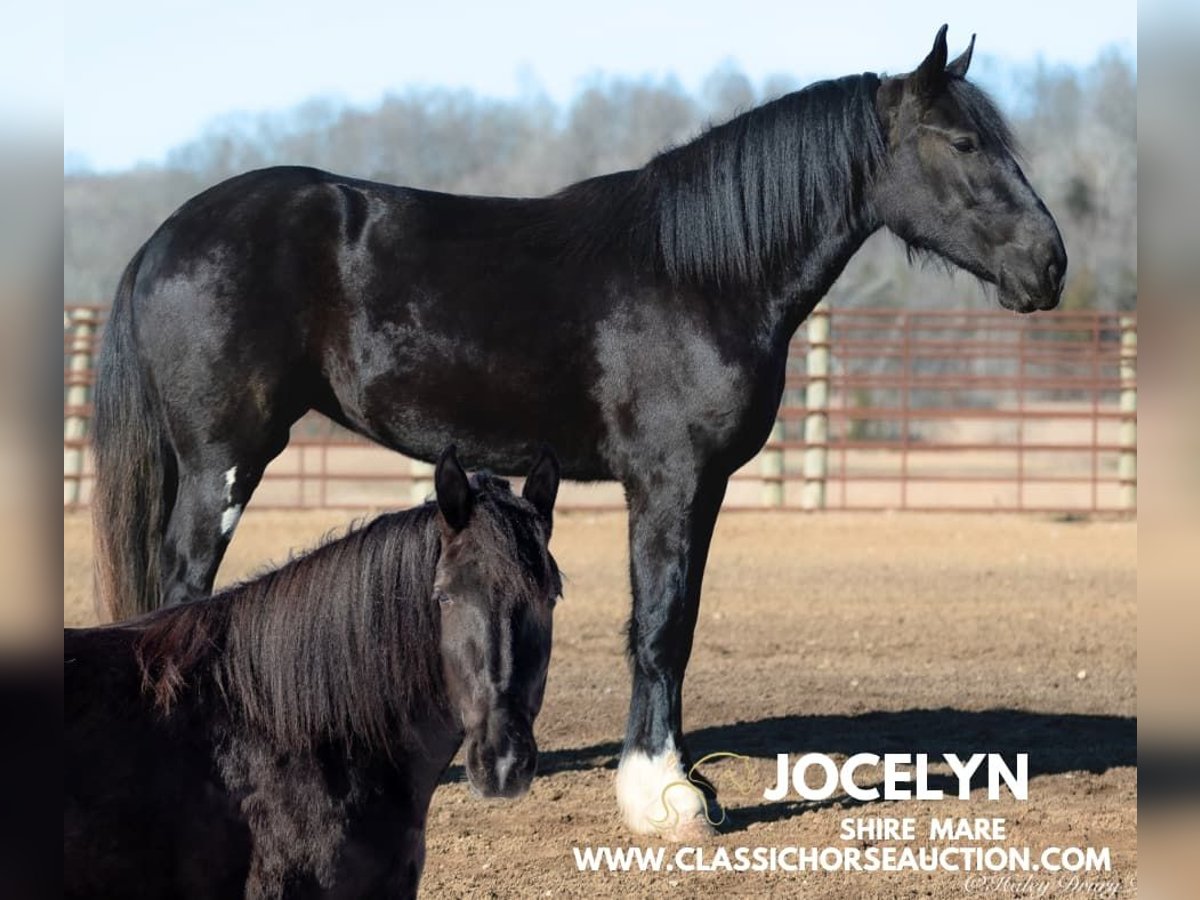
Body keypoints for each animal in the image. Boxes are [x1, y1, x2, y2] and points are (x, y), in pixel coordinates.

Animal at [96, 28, 1070, 844]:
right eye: (962, 143)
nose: (1050, 265)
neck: (697, 273)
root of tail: (163, 238)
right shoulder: (670, 481)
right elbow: (661, 624)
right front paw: (665, 795)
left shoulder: (702, 489)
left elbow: (677, 622)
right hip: (223, 465)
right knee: (183, 590)